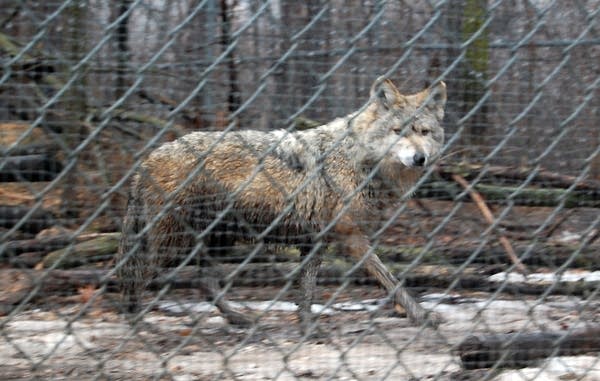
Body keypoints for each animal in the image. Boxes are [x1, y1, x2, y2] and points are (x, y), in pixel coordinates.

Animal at [116, 77, 446, 330]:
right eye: (398, 131)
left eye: (424, 132)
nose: (419, 158)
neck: (358, 160)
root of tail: (146, 160)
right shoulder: (350, 237)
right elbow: (391, 280)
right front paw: (419, 315)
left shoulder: (316, 240)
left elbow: (307, 291)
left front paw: (306, 325)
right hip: (173, 245)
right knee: (138, 276)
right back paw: (136, 323)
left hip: (216, 242)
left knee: (204, 284)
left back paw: (240, 319)